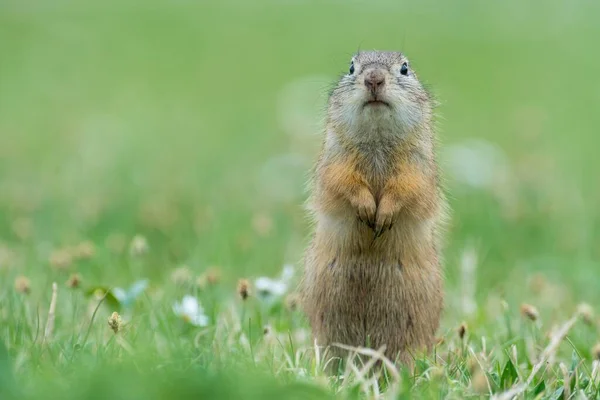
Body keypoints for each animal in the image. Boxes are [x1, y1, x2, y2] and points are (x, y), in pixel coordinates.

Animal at [302, 50, 448, 368]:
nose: (374, 79)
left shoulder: (418, 167)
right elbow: (341, 183)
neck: (378, 140)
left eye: (405, 68)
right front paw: (367, 209)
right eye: (351, 67)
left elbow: (409, 189)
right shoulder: (335, 161)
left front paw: (384, 216)